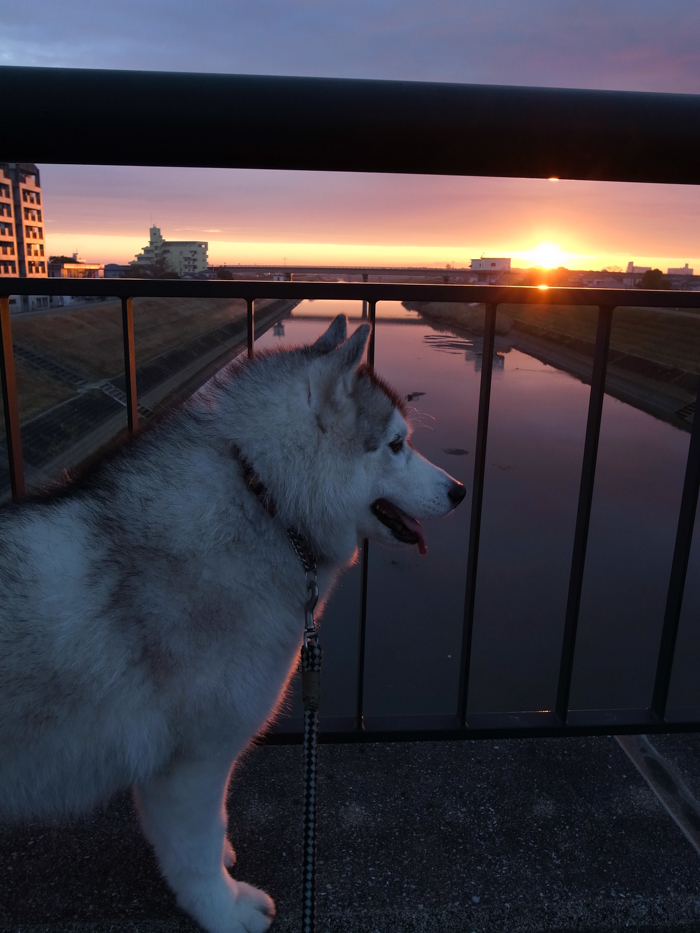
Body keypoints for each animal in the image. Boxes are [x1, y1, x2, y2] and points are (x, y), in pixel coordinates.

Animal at [1, 314, 470, 932]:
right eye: (396, 445)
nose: (459, 491)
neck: (267, 500)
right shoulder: (192, 757)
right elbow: (197, 842)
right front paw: (221, 908)